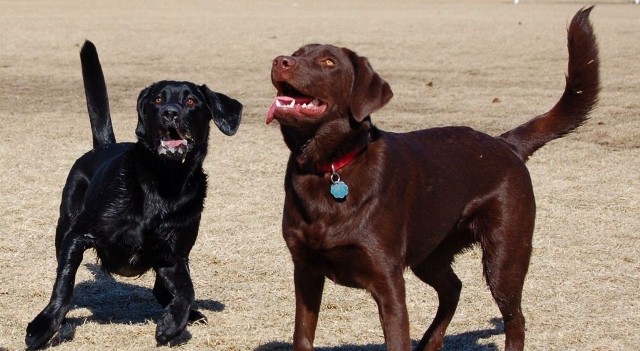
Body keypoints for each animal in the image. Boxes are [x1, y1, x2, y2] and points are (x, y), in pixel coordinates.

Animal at [25, 41, 242, 350]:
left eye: (191, 102)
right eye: (158, 100)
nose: (170, 113)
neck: (163, 182)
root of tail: (103, 146)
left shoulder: (174, 254)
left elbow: (186, 290)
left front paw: (172, 325)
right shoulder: (77, 237)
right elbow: (63, 285)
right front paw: (43, 327)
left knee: (162, 289)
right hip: (64, 224)